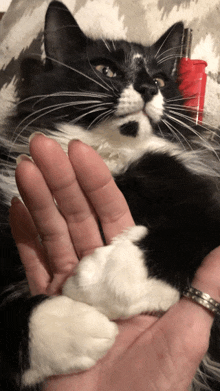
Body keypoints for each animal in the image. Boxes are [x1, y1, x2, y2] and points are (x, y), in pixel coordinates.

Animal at [0, 0, 220, 391]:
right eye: (105, 69)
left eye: (160, 79)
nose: (147, 87)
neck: (111, 153)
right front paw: (70, 329)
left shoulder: (204, 202)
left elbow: (185, 232)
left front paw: (105, 279)